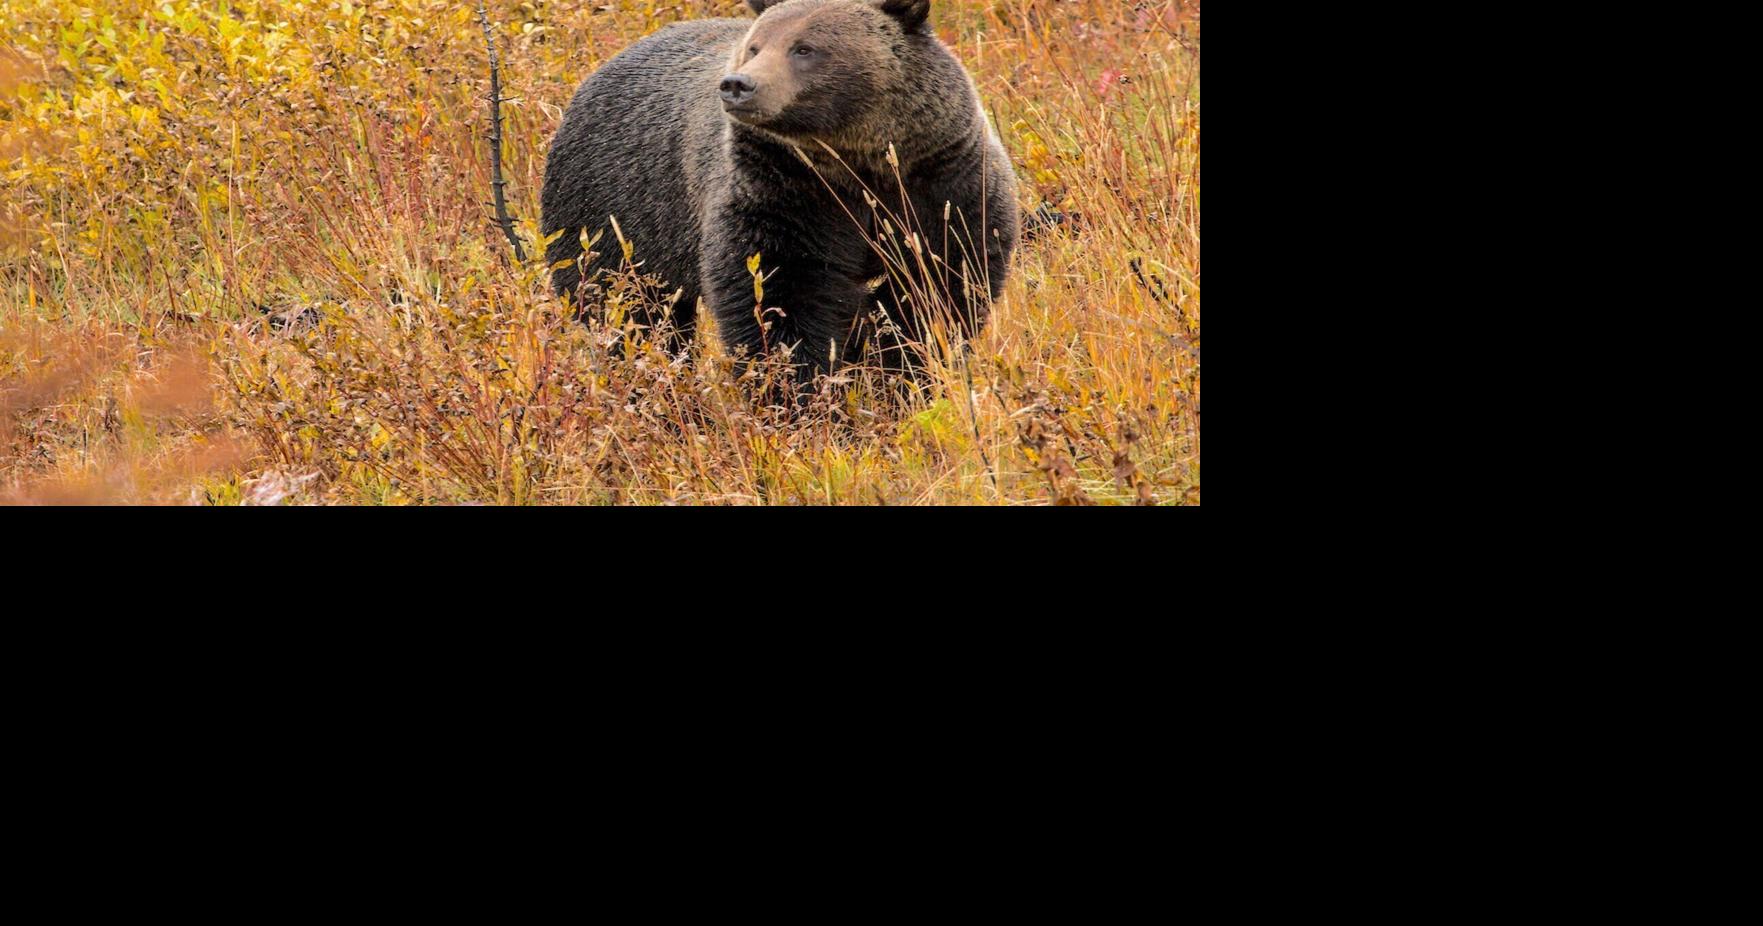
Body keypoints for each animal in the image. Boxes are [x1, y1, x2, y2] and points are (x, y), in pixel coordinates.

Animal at [539, 0, 1019, 379]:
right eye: (755, 46)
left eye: (804, 48)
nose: (738, 84)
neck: (857, 166)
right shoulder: (782, 193)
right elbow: (777, 295)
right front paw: (798, 387)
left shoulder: (941, 184)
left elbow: (937, 287)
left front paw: (897, 370)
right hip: (614, 210)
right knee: (624, 307)